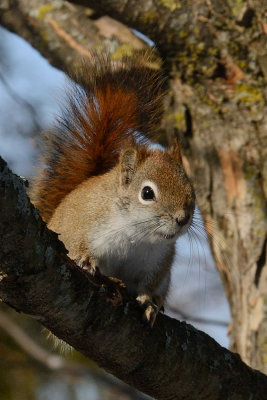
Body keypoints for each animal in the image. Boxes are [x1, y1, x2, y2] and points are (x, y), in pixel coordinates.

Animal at [30, 52, 196, 324]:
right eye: (147, 193)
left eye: (191, 189)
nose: (182, 219)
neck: (135, 234)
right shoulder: (82, 221)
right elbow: (74, 242)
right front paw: (86, 258)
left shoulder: (158, 261)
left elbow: (150, 284)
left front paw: (149, 300)